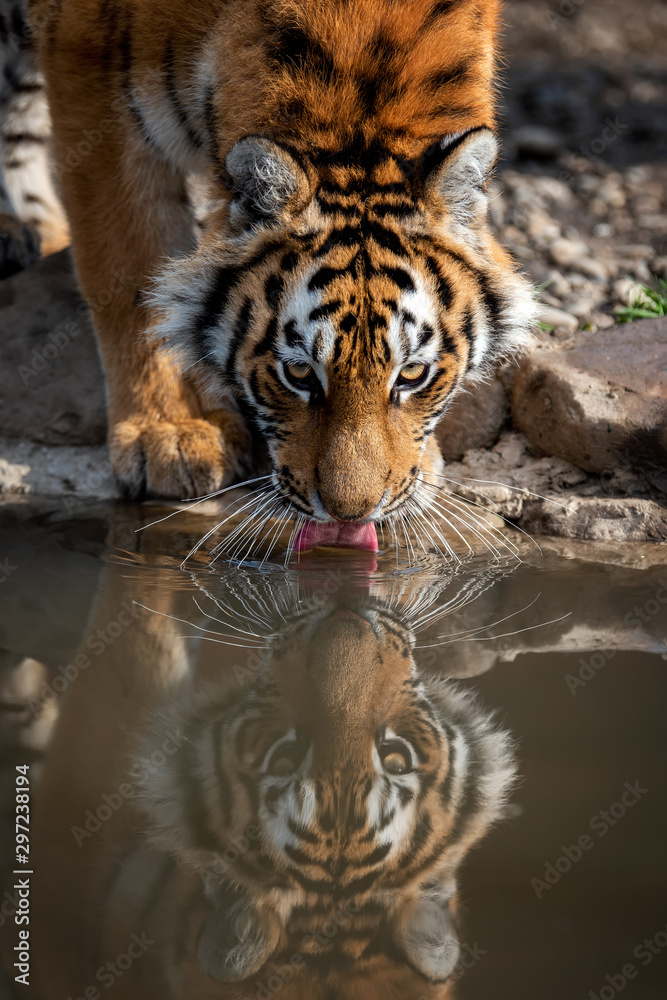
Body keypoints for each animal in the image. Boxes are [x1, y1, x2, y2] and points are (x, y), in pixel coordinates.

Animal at [28, 0, 536, 556]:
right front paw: (171, 431)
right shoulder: (92, 75)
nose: (350, 515)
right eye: (298, 374)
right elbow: (132, 274)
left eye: (412, 375)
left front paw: (423, 465)